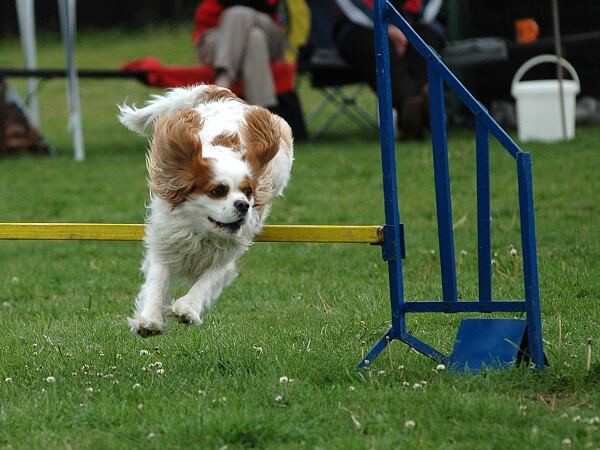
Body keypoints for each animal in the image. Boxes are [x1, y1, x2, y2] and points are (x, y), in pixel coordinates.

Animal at [118, 85, 292, 338]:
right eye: (218, 191)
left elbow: (208, 280)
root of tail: (225, 94)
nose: (244, 205)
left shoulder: (227, 255)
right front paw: (149, 320)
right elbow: (157, 282)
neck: (200, 232)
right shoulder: (166, 244)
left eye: (248, 192)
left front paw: (187, 308)